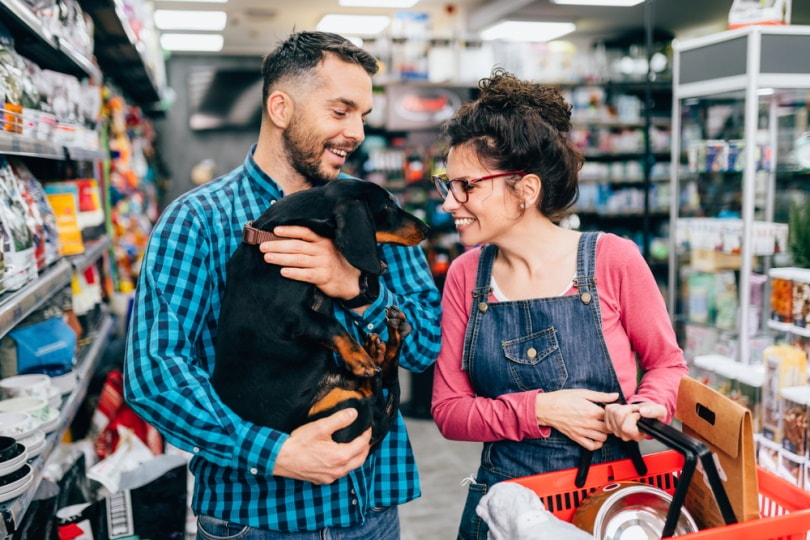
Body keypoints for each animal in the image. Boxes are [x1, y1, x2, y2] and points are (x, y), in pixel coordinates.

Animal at [213, 179, 430, 446]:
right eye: (388, 205)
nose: (427, 229)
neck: (276, 232)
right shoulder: (292, 316)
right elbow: (332, 325)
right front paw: (359, 358)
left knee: (382, 384)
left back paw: (383, 343)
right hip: (342, 410)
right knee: (373, 397)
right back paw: (369, 358)